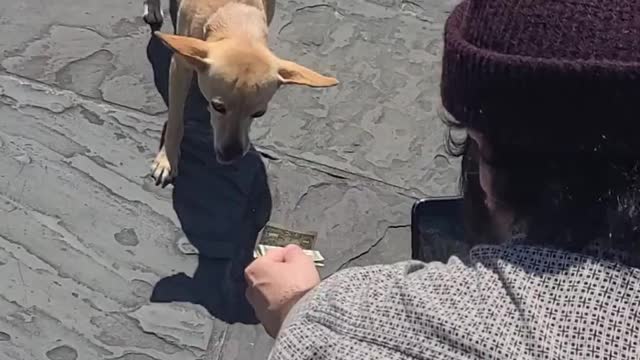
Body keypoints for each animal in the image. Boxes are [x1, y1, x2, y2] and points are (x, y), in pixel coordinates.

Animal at [147, 0, 338, 187]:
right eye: (218, 106)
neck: (235, 14)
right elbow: (175, 121)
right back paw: (152, 8)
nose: (232, 154)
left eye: (259, 113)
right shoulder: (179, 68)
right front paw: (167, 160)